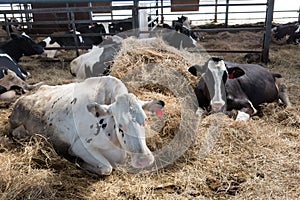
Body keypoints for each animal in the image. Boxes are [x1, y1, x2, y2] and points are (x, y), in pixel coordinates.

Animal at [9, 76, 165, 176]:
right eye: (120, 125)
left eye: (145, 120)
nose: (144, 160)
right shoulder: (79, 146)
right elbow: (107, 168)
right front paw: (80, 163)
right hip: (16, 125)